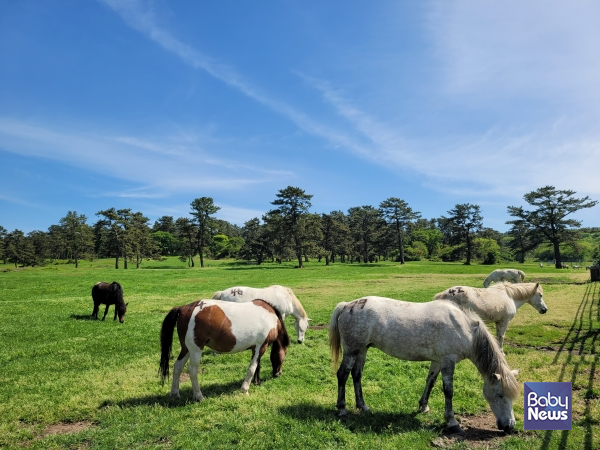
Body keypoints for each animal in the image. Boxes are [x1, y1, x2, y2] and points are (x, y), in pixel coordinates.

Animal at [159, 298, 290, 400]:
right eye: (284, 355)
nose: (278, 373)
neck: (270, 316)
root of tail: (183, 308)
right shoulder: (260, 346)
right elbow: (252, 368)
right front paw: (245, 389)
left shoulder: (256, 348)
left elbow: (257, 366)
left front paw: (256, 382)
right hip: (195, 349)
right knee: (192, 370)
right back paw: (199, 396)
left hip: (186, 348)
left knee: (178, 366)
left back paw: (175, 393)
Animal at [328, 298, 520, 434]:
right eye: (500, 395)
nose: (509, 426)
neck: (465, 328)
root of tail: (347, 306)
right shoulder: (448, 361)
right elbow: (448, 391)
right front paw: (452, 422)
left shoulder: (437, 361)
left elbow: (430, 382)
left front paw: (423, 406)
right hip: (352, 351)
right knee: (343, 374)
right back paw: (342, 409)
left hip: (362, 350)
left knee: (357, 375)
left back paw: (363, 406)